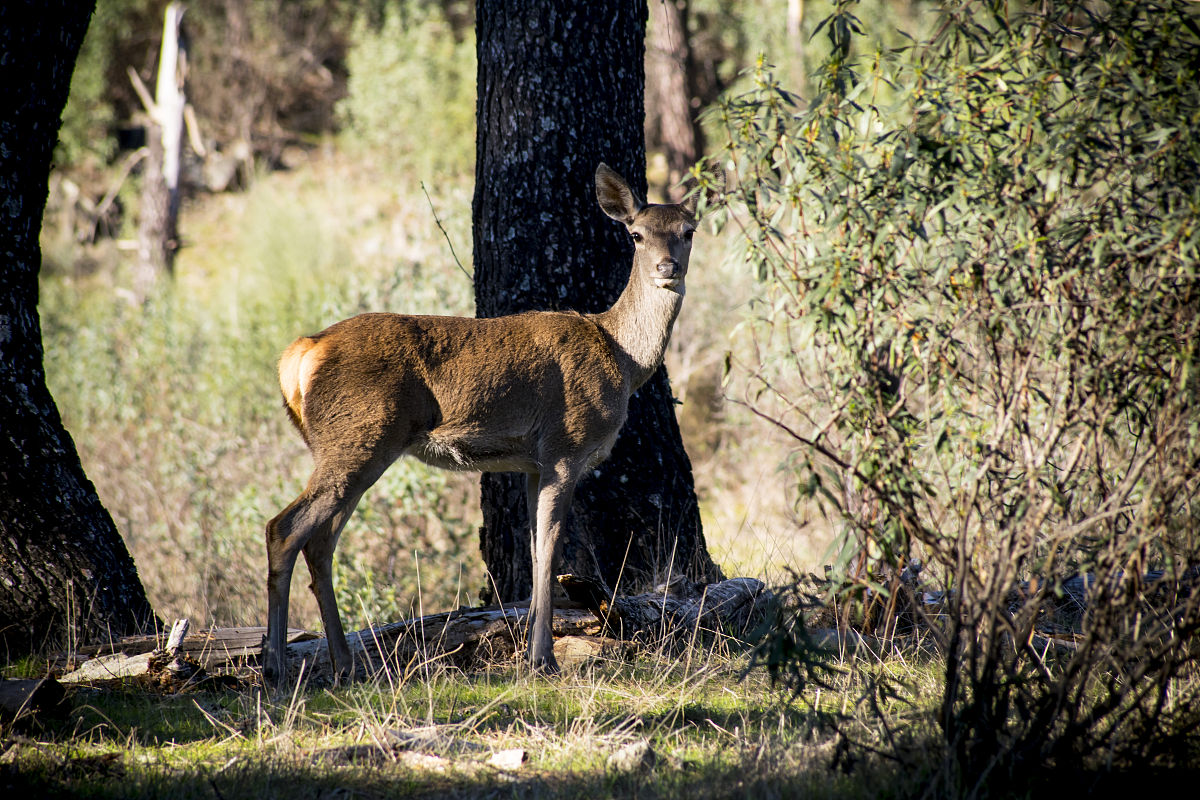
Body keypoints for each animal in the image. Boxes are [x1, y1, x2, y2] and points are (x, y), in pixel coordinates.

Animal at [261, 163, 703, 686]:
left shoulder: (532, 463)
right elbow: (550, 549)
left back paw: (346, 665)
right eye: (636, 234)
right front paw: (544, 660)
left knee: (321, 541)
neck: (623, 358)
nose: (667, 268)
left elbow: (534, 550)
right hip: (358, 437)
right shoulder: (565, 446)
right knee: (284, 528)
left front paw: (533, 651)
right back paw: (275, 667)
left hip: (351, 446)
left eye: (688, 231)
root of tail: (302, 352)